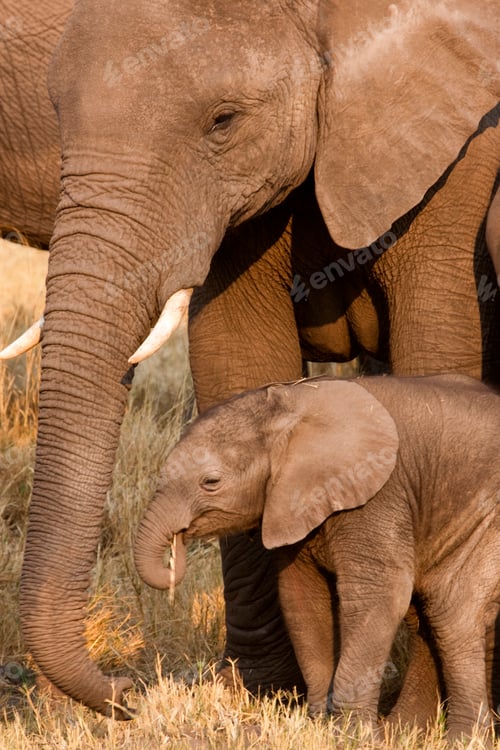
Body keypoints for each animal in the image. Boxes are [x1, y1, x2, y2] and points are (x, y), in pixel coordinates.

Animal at [134, 373, 500, 742]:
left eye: (211, 482)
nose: (177, 546)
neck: (293, 403)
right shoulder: (291, 504)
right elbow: (301, 599)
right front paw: (319, 723)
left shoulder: (379, 495)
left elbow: (378, 597)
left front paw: (351, 735)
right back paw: (410, 731)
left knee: (452, 610)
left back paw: (462, 740)